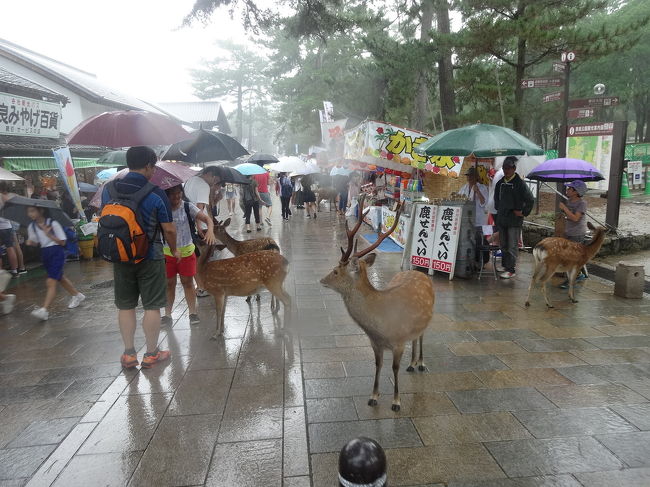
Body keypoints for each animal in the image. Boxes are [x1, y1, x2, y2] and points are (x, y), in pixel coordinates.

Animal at [320, 195, 435, 411]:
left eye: (336, 271)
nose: (321, 280)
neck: (379, 326)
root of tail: (419, 273)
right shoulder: (375, 344)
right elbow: (378, 365)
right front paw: (373, 396)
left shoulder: (399, 342)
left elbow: (394, 368)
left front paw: (396, 401)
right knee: (415, 338)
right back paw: (412, 364)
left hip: (428, 319)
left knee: (423, 337)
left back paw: (422, 363)